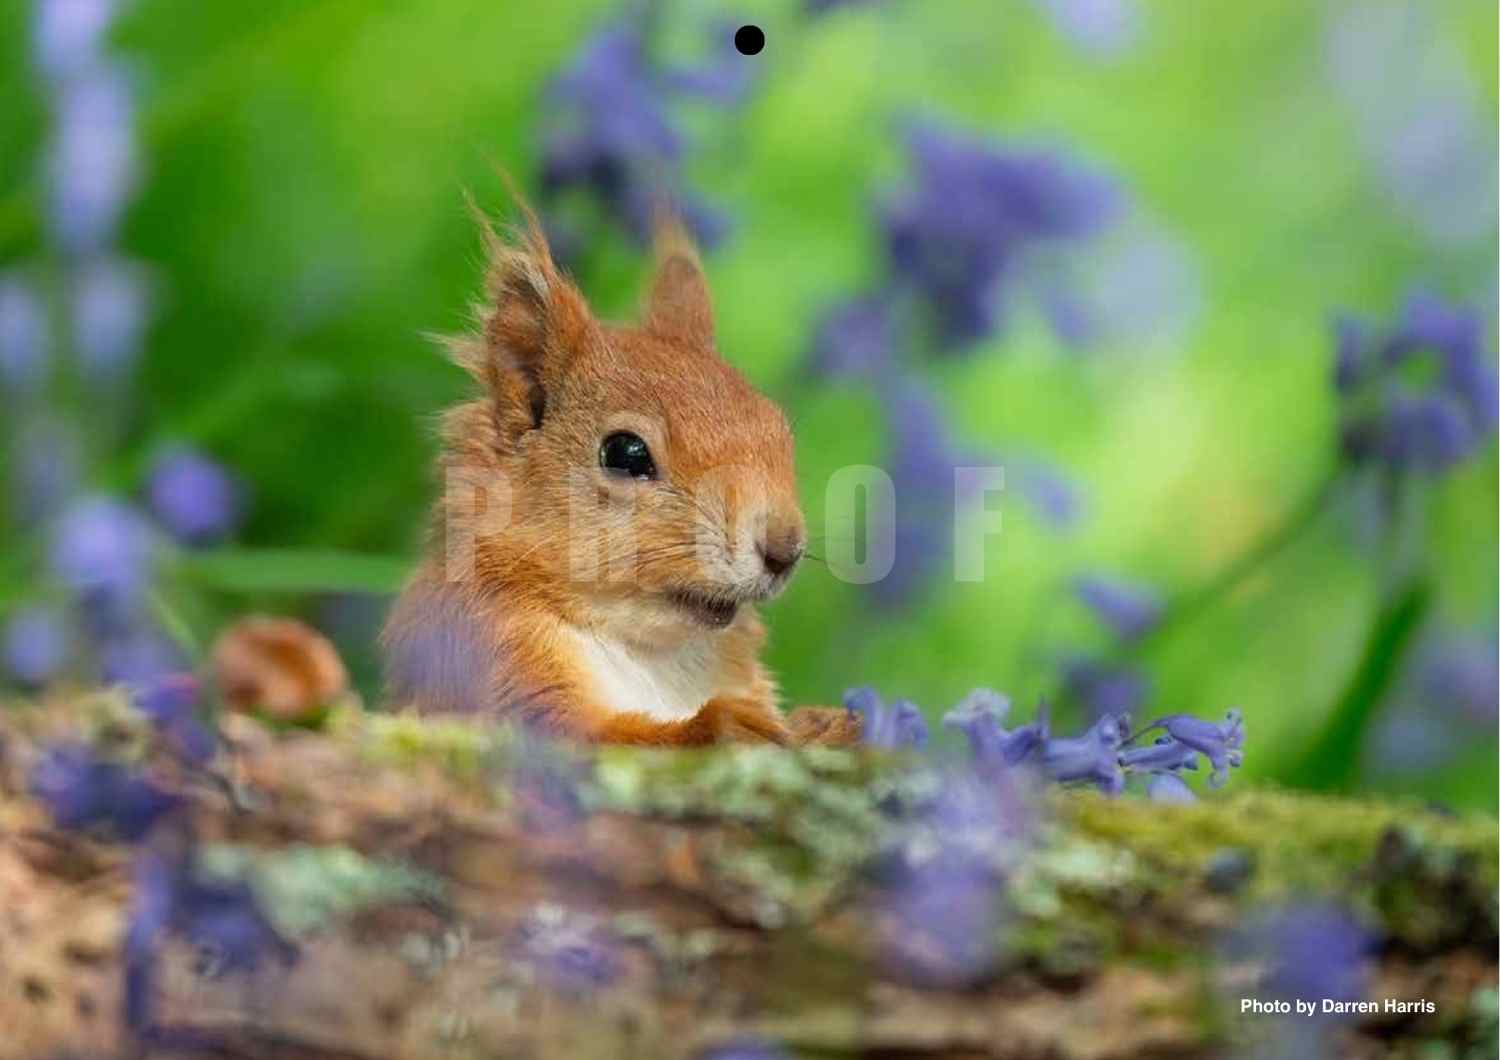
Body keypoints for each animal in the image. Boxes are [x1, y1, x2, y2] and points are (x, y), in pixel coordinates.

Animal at [382, 199, 859, 747]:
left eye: (779, 429)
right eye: (626, 454)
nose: (784, 550)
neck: (650, 652)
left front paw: (825, 723)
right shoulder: (488, 660)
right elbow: (586, 735)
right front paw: (723, 724)